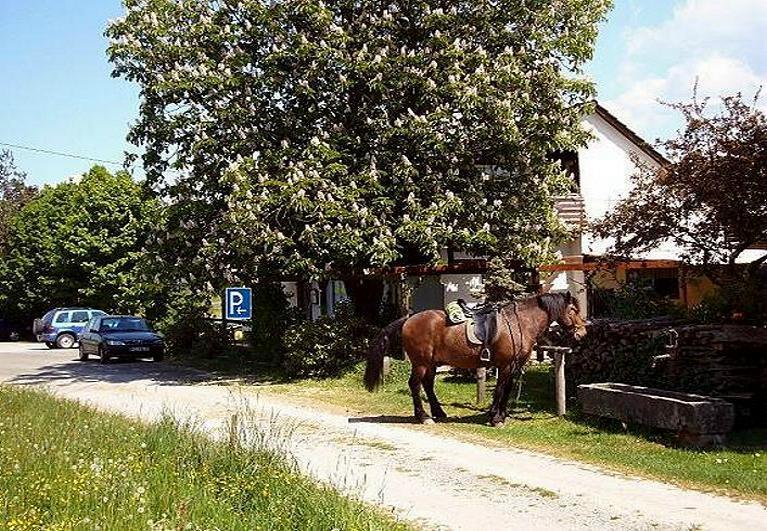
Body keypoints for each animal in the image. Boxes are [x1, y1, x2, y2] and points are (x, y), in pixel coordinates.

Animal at [364, 294, 588, 426]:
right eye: (573, 310)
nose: (582, 333)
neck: (519, 323)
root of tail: (409, 319)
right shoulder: (505, 365)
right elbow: (500, 389)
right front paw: (495, 417)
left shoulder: (514, 367)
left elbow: (507, 390)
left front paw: (500, 415)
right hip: (420, 363)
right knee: (415, 385)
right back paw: (424, 417)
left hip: (431, 364)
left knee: (427, 385)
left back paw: (439, 412)